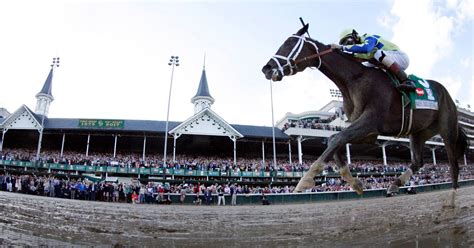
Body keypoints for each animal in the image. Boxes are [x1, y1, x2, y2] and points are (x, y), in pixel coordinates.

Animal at [262, 24, 468, 196]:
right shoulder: (369, 132)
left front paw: (305, 179)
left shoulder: (370, 121)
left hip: (447, 130)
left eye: (289, 43)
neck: (355, 79)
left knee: (454, 164)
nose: (267, 68)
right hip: (418, 132)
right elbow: (334, 139)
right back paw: (394, 185)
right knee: (419, 161)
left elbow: (337, 138)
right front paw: (355, 183)